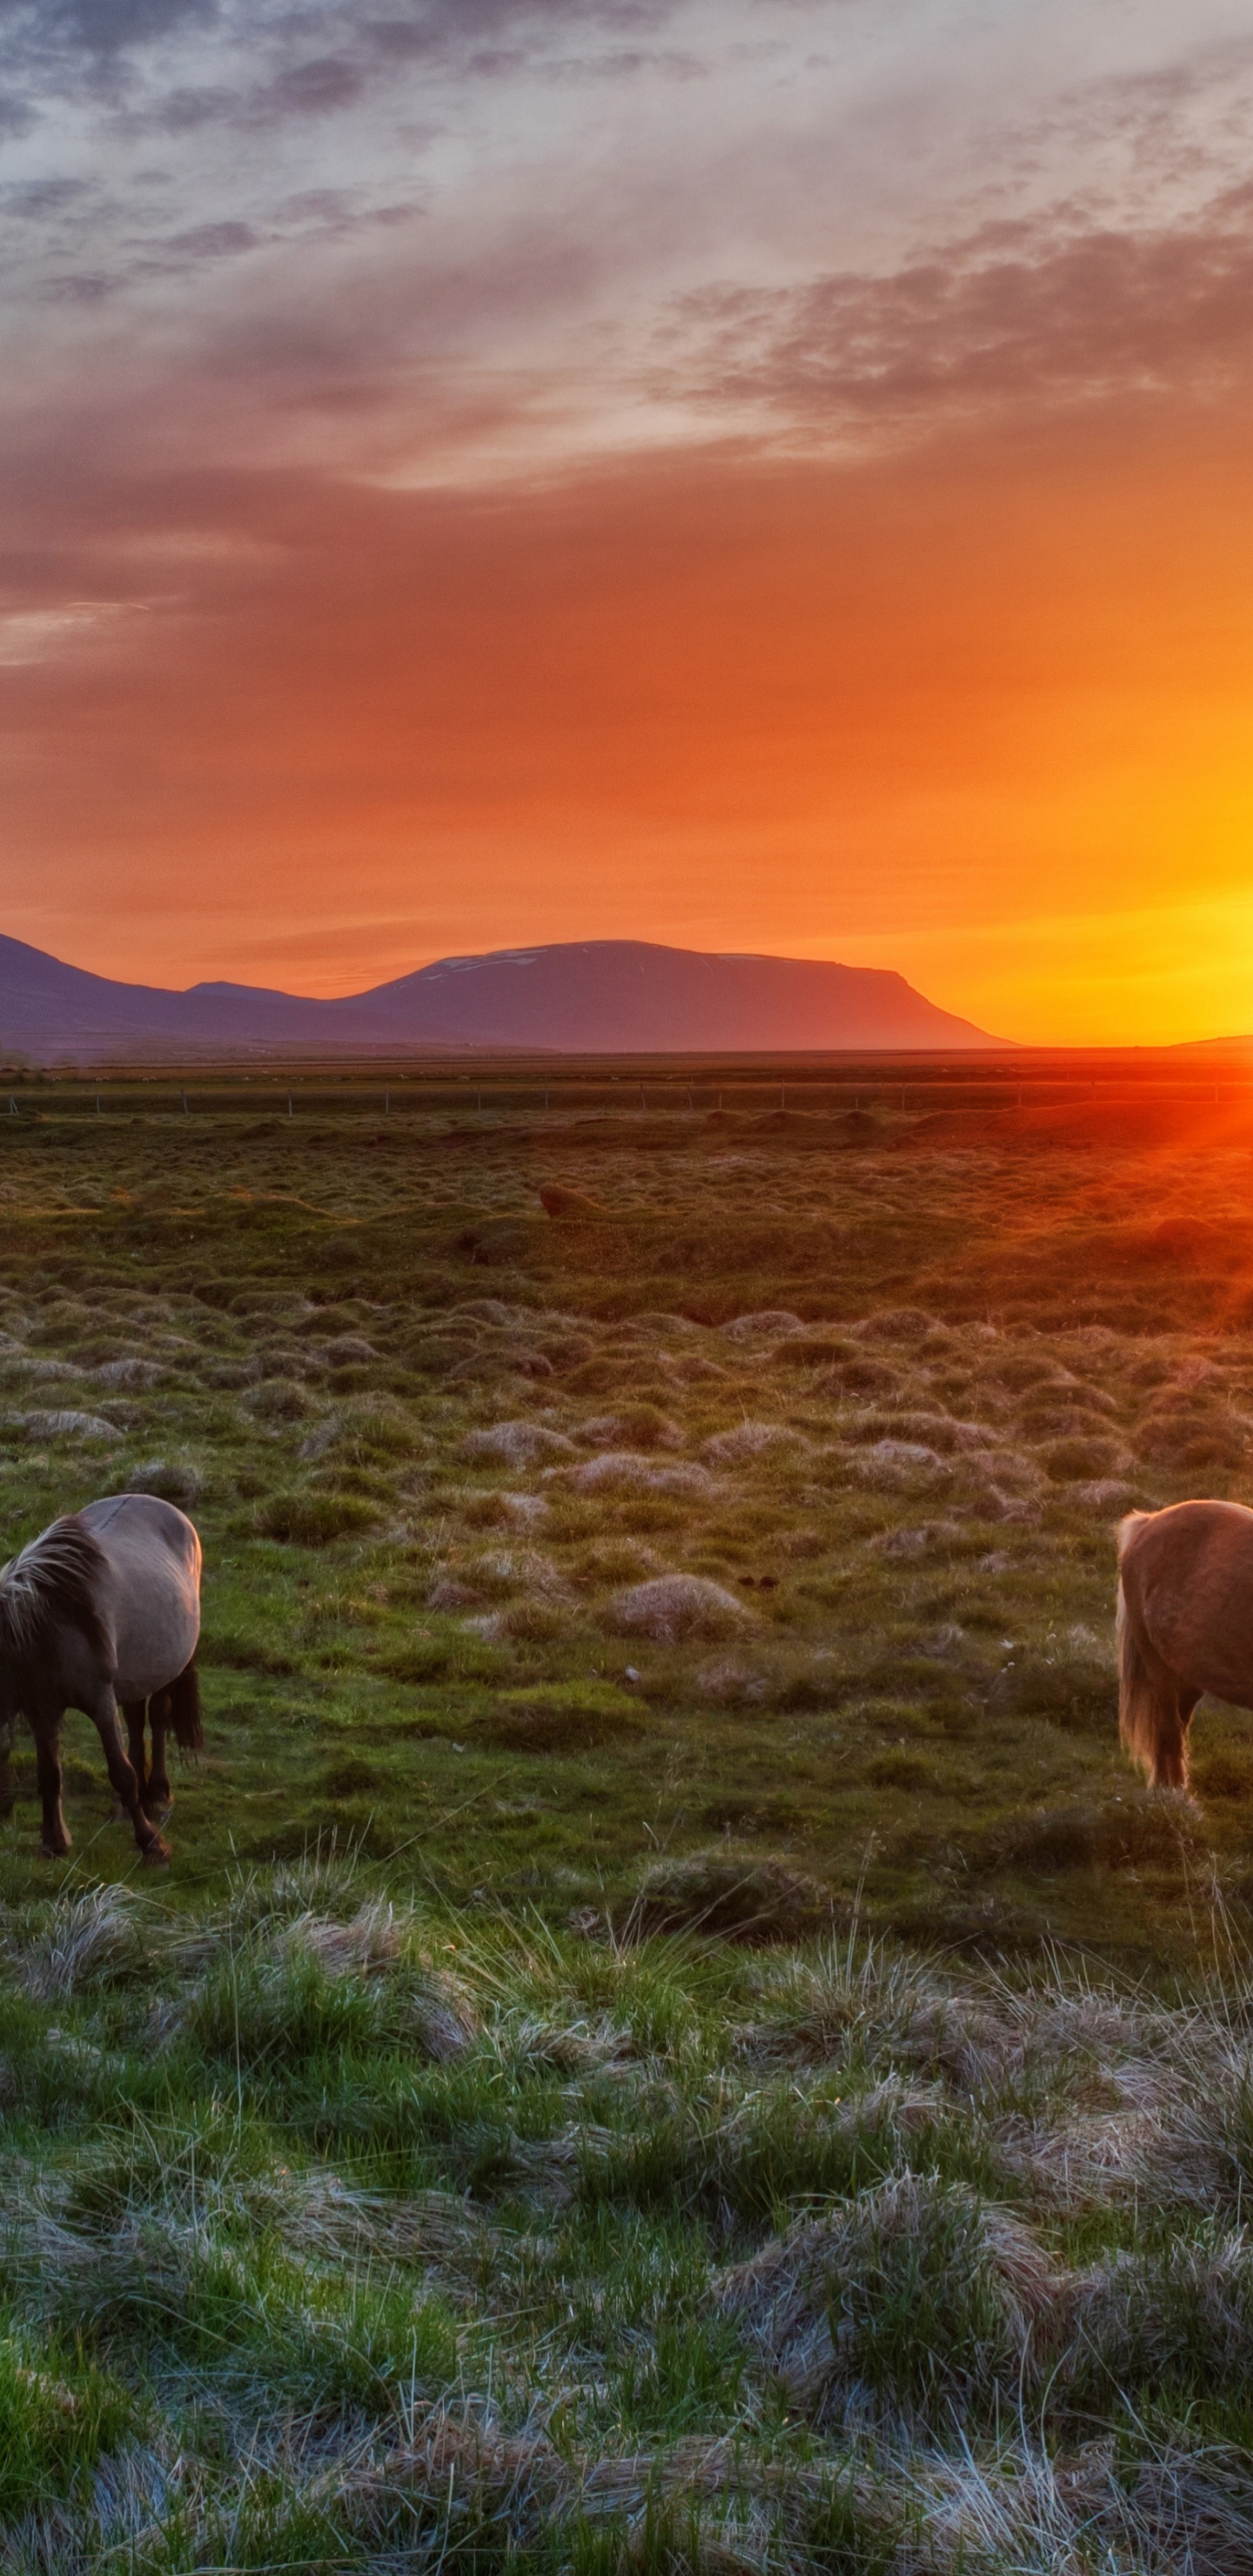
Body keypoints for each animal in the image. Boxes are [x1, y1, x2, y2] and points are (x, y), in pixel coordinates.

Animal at [0, 1493, 201, 1875]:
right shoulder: (41, 1710)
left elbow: (121, 1773)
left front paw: (151, 1845)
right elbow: (49, 1775)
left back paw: (158, 1794)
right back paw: (132, 1805)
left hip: (166, 1670)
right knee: (137, 1721)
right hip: (136, 1674)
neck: (46, 1631)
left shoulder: (100, 1702)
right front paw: (53, 1843)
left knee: (158, 1717)